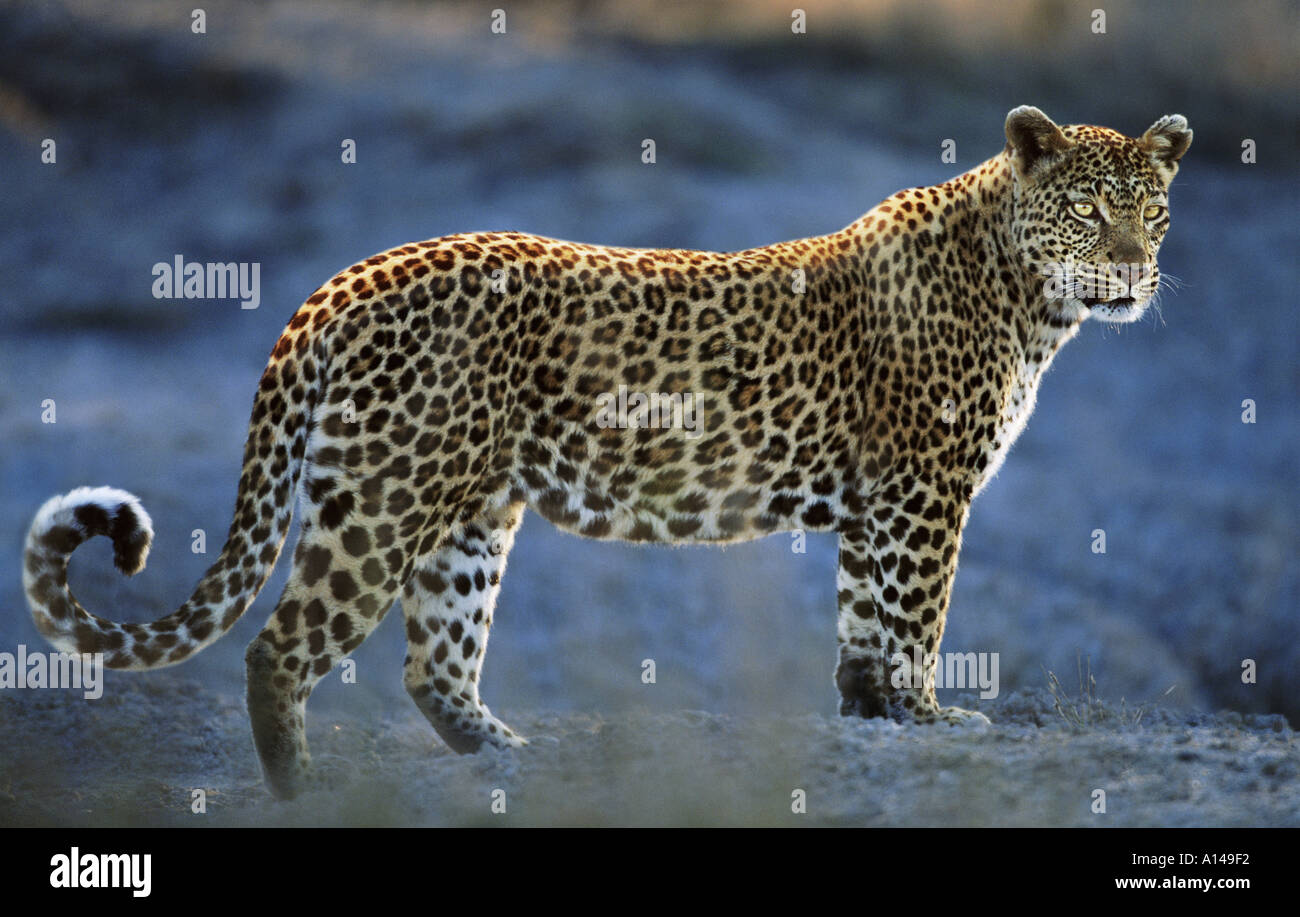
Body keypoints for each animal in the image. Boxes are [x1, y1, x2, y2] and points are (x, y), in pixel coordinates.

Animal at [22, 106, 1191, 799]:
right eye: (1091, 209)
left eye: (1154, 210)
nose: (1134, 271)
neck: (1029, 298)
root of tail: (340, 281)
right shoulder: (919, 490)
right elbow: (914, 616)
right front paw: (928, 715)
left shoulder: (879, 501)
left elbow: (866, 624)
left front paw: (874, 719)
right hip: (387, 498)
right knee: (283, 646)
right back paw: (304, 790)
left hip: (469, 514)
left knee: (432, 661)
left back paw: (511, 761)